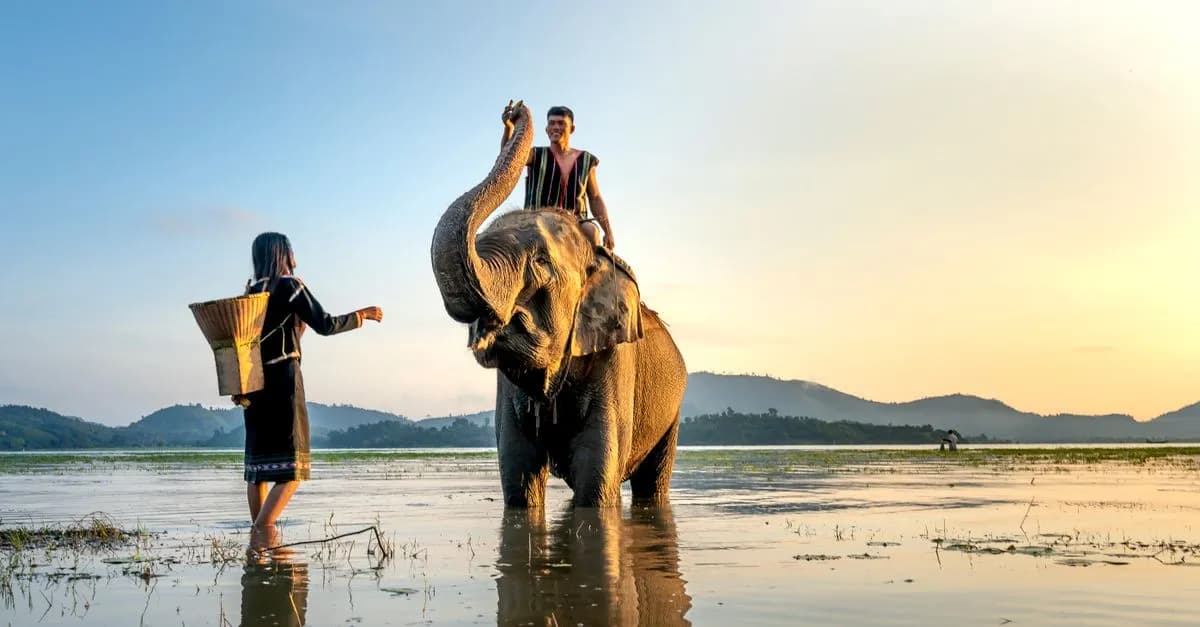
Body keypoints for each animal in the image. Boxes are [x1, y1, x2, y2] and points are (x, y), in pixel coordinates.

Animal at [431, 102, 687, 508]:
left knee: (652, 481)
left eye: (540, 262)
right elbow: (519, 478)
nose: (514, 109)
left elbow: (595, 480)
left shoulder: (615, 360)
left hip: (672, 412)